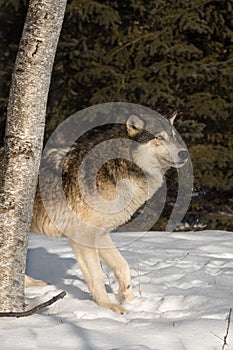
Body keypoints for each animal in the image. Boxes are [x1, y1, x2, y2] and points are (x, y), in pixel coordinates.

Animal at [29, 110, 189, 314]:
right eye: (159, 137)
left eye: (174, 136)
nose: (184, 153)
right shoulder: (83, 236)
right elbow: (97, 276)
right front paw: (109, 306)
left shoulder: (102, 234)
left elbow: (123, 266)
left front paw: (129, 300)